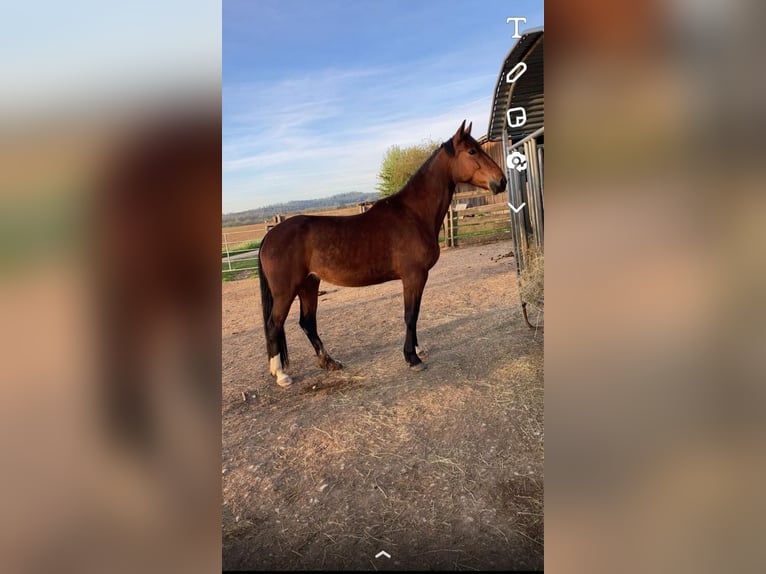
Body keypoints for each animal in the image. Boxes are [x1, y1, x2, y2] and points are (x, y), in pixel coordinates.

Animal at [260, 121, 508, 388]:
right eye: (472, 152)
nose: (501, 181)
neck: (413, 213)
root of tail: (270, 236)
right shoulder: (413, 276)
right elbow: (410, 315)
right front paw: (412, 358)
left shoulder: (417, 278)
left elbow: (415, 314)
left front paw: (417, 350)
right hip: (287, 290)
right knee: (275, 324)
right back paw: (281, 375)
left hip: (309, 284)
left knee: (308, 322)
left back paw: (330, 362)